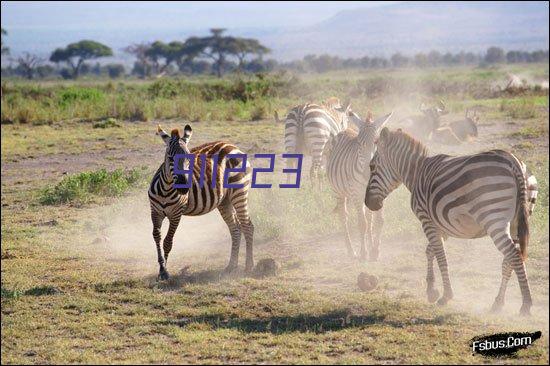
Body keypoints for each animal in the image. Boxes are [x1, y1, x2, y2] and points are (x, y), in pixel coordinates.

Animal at [150, 124, 256, 278]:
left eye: (189, 157)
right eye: (170, 157)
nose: (183, 187)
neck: (166, 189)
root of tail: (232, 146)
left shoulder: (176, 214)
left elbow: (168, 241)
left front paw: (165, 272)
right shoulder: (155, 213)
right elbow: (156, 237)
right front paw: (161, 268)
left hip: (239, 193)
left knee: (248, 226)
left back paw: (248, 266)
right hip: (225, 201)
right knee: (235, 229)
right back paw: (231, 266)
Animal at [326, 111, 394, 260]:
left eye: (376, 143)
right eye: (359, 144)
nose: (367, 174)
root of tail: (344, 130)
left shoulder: (381, 194)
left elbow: (379, 221)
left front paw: (375, 251)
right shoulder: (356, 194)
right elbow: (362, 224)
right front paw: (364, 253)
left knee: (369, 218)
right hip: (338, 192)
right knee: (344, 217)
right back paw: (351, 251)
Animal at [366, 128, 540, 314]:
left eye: (372, 166)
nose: (368, 203)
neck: (417, 172)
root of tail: (514, 161)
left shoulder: (426, 220)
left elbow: (441, 256)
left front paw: (445, 295)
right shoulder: (441, 226)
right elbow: (430, 251)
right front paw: (431, 290)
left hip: (494, 219)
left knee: (513, 256)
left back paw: (526, 305)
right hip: (517, 222)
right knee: (510, 260)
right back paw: (498, 303)